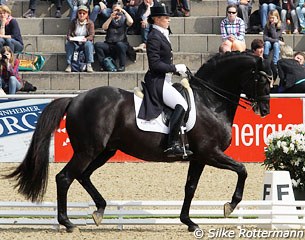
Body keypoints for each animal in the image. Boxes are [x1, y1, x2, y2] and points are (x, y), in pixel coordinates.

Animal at [4, 51, 270, 232]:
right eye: (262, 80)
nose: (265, 110)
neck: (209, 101)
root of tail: (75, 99)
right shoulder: (210, 153)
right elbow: (242, 170)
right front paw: (230, 206)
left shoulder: (198, 157)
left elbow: (190, 187)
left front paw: (189, 222)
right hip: (88, 150)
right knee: (65, 177)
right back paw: (68, 223)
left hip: (105, 151)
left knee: (83, 176)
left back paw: (99, 210)